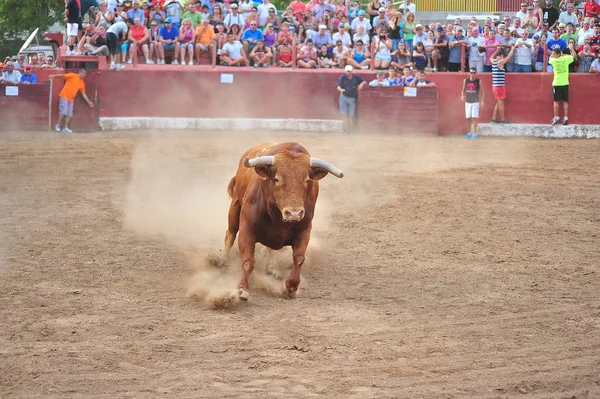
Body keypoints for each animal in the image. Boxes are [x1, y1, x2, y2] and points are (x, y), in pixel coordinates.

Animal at [221, 142, 344, 302]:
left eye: (307, 180)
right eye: (276, 179)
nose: (294, 213)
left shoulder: (305, 230)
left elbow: (299, 258)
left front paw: (290, 287)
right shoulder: (246, 228)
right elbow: (248, 261)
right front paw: (241, 289)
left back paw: (271, 268)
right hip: (235, 206)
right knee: (230, 234)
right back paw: (222, 260)